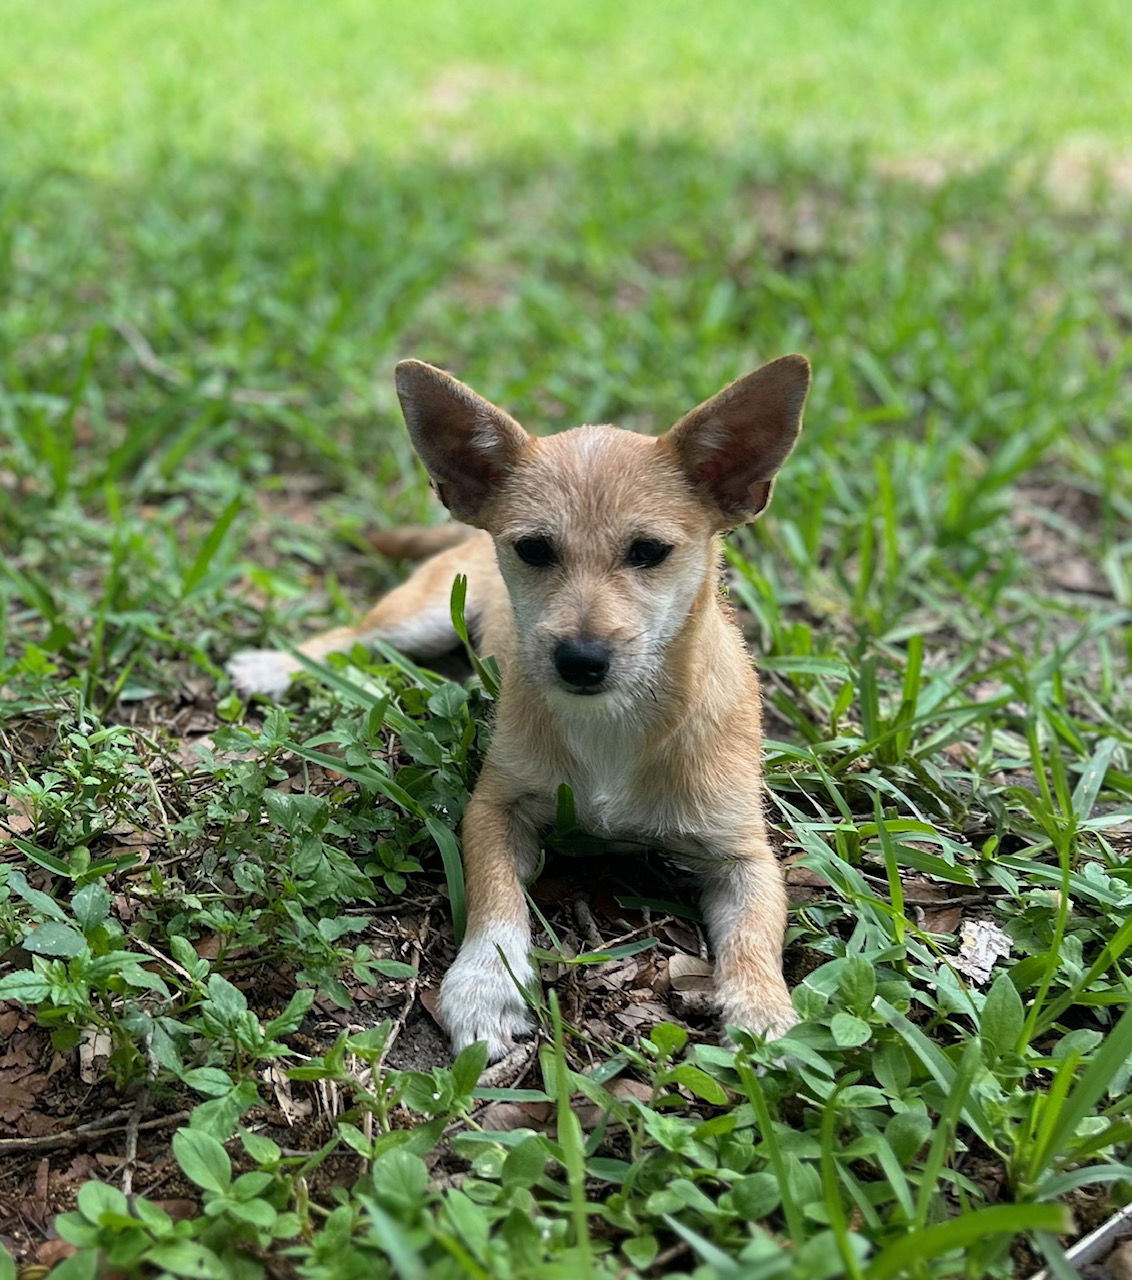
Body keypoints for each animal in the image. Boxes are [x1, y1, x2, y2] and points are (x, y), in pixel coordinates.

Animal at [227, 353, 814, 1059]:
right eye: (534, 548)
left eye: (648, 552)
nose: (580, 659)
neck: (612, 724)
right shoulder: (494, 809)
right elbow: (496, 898)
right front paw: (486, 983)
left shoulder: (744, 856)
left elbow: (757, 933)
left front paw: (762, 1008)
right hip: (419, 618)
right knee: (347, 637)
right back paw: (275, 664)